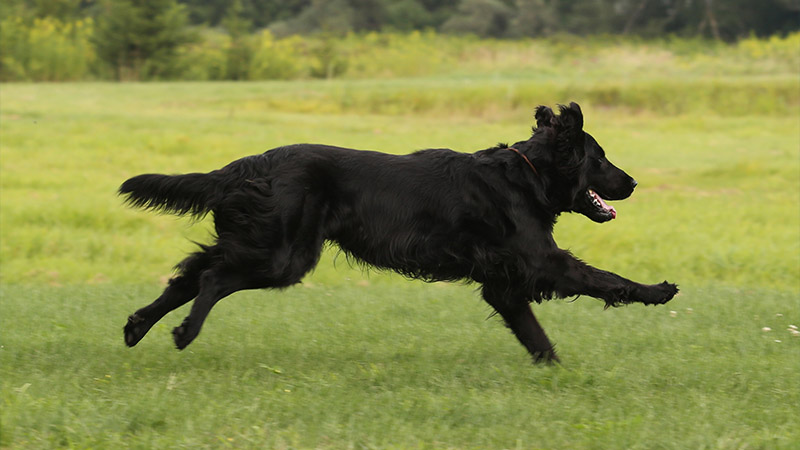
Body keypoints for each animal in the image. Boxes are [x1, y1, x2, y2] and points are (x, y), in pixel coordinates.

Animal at [122, 102, 680, 362]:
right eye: (600, 157)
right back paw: (183, 333)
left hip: (256, 241)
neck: (526, 175)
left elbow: (536, 336)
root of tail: (251, 164)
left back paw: (135, 326)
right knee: (212, 279)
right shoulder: (542, 261)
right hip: (282, 256)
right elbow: (606, 279)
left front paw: (559, 373)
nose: (632, 183)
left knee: (188, 276)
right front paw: (659, 289)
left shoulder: (503, 283)